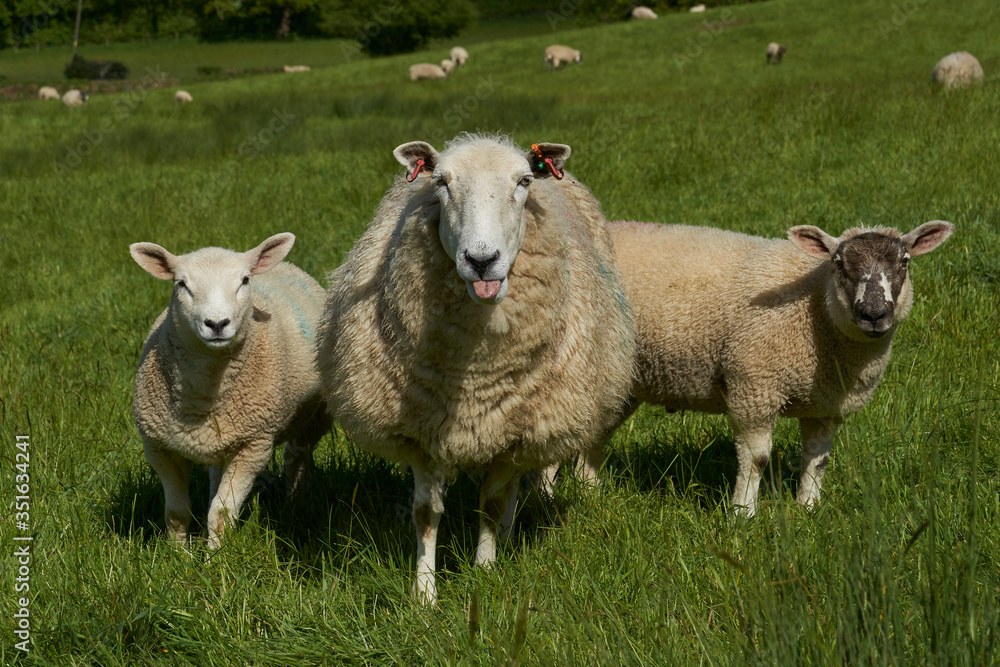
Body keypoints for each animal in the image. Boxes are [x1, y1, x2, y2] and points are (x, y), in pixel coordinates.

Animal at [131, 233, 329, 549]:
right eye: (181, 284)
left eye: (244, 280)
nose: (217, 324)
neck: (203, 396)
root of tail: (286, 266)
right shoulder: (158, 447)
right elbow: (176, 512)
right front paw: (178, 555)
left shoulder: (253, 446)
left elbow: (221, 513)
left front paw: (216, 557)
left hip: (317, 414)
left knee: (296, 456)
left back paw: (294, 505)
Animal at [317, 134, 636, 604]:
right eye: (441, 183)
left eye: (523, 182)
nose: (481, 260)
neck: (475, 379)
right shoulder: (421, 432)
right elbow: (426, 513)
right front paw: (424, 594)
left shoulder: (514, 430)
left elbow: (491, 503)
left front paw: (485, 572)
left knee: (517, 485)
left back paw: (505, 534)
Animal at [604, 220, 954, 517]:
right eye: (839, 264)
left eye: (905, 262)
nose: (874, 314)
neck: (813, 306)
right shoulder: (754, 387)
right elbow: (757, 458)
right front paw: (743, 514)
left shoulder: (823, 402)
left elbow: (817, 459)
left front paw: (808, 508)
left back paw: (593, 491)